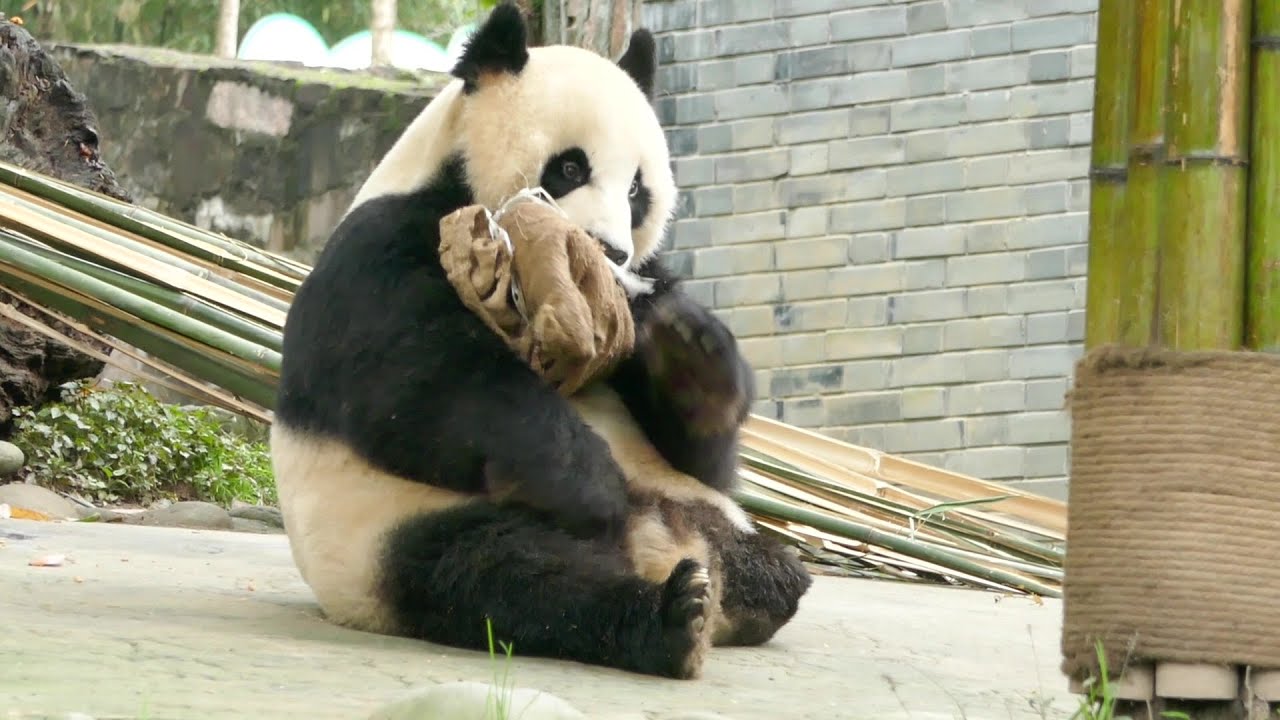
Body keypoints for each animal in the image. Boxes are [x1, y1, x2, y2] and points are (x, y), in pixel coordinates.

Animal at [271, 1, 811, 681]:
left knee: (770, 564)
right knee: (504, 576)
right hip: (388, 528)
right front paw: (593, 483)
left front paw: (687, 352)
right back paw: (670, 616)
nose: (609, 250)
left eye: (637, 190)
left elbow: (704, 452)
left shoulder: (640, 292)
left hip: (701, 510)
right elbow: (418, 383)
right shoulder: (378, 251)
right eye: (571, 167)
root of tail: (660, 543)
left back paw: (741, 589)